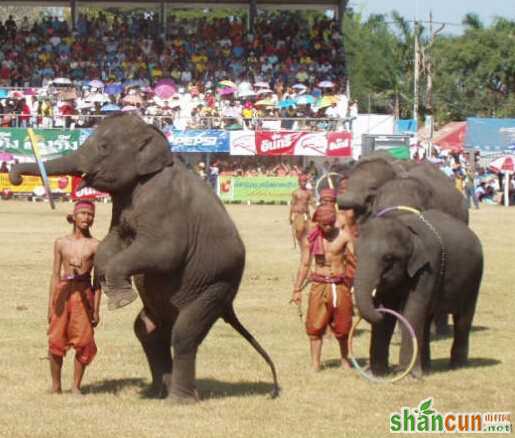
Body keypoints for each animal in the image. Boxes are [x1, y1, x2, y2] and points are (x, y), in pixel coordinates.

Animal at [9, 113, 282, 404]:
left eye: (103, 147)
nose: (14, 177)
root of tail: (229, 306)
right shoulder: (124, 204)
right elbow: (113, 239)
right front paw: (103, 280)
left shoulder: (165, 203)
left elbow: (163, 252)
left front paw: (121, 300)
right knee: (147, 330)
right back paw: (157, 393)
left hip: (215, 287)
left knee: (184, 334)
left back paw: (179, 400)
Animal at [354, 209, 484, 376]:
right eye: (356, 254)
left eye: (388, 258)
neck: (408, 229)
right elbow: (388, 318)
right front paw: (376, 373)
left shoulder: (428, 267)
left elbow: (412, 312)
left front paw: (407, 374)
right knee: (427, 320)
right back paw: (427, 369)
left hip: (473, 280)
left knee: (463, 319)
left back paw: (457, 366)